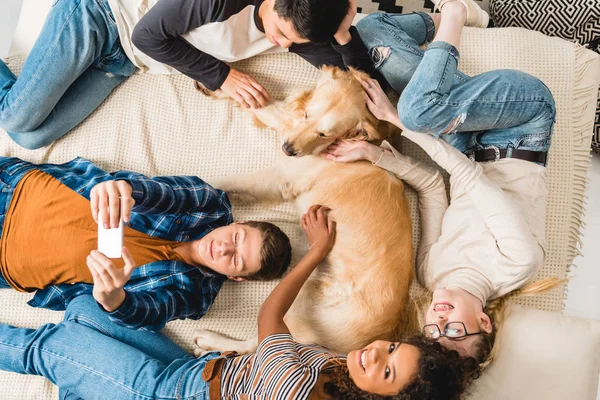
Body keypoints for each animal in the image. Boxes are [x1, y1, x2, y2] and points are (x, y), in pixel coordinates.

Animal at [195, 66, 414, 356]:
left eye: (325, 134)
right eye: (309, 115)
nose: (288, 149)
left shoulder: (281, 177)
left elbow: (222, 182)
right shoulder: (291, 123)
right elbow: (264, 103)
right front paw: (221, 85)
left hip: (301, 297)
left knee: (258, 344)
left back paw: (209, 340)